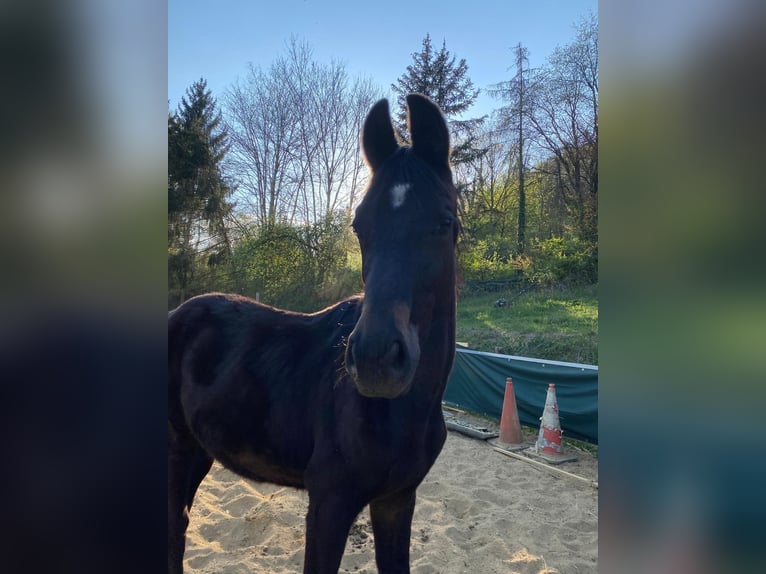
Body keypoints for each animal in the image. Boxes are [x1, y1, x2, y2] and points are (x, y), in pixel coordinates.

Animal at [168, 93, 458, 574]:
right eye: (359, 225)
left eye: (444, 223)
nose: (376, 361)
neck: (401, 411)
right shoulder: (329, 505)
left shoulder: (397, 501)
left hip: (196, 450)